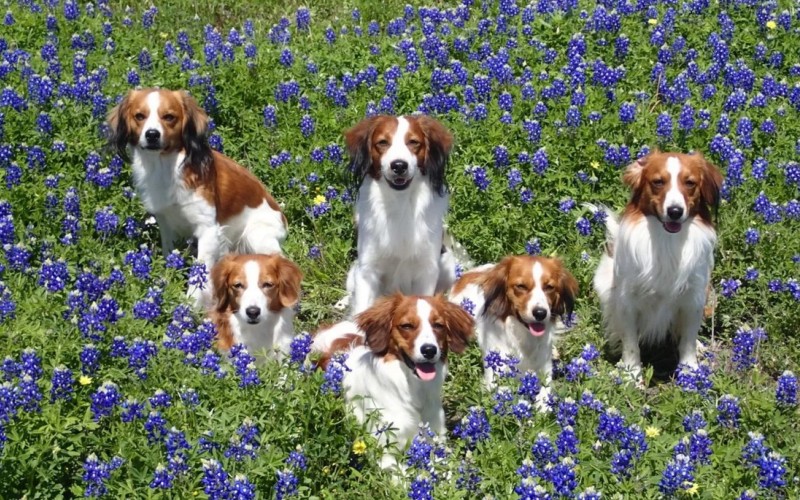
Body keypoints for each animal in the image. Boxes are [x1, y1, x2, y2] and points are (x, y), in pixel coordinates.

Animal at [106, 89, 288, 284]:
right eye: (139, 116)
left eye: (169, 117)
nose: (152, 134)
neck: (165, 166)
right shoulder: (165, 222)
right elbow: (169, 253)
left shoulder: (207, 228)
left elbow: (199, 272)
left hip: (256, 235)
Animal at [340, 114, 462, 316]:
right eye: (382, 142)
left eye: (413, 142)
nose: (399, 165)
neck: (400, 202)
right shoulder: (367, 270)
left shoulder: (426, 270)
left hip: (448, 267)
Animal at [450, 256, 576, 404]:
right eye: (521, 286)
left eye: (549, 287)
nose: (540, 313)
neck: (523, 336)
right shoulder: (496, 373)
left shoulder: (544, 370)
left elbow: (544, 396)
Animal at [588, 150, 724, 380]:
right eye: (658, 182)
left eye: (690, 183)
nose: (675, 211)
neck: (667, 241)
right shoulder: (627, 300)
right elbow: (631, 344)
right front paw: (631, 375)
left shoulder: (693, 297)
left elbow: (687, 340)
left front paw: (690, 372)